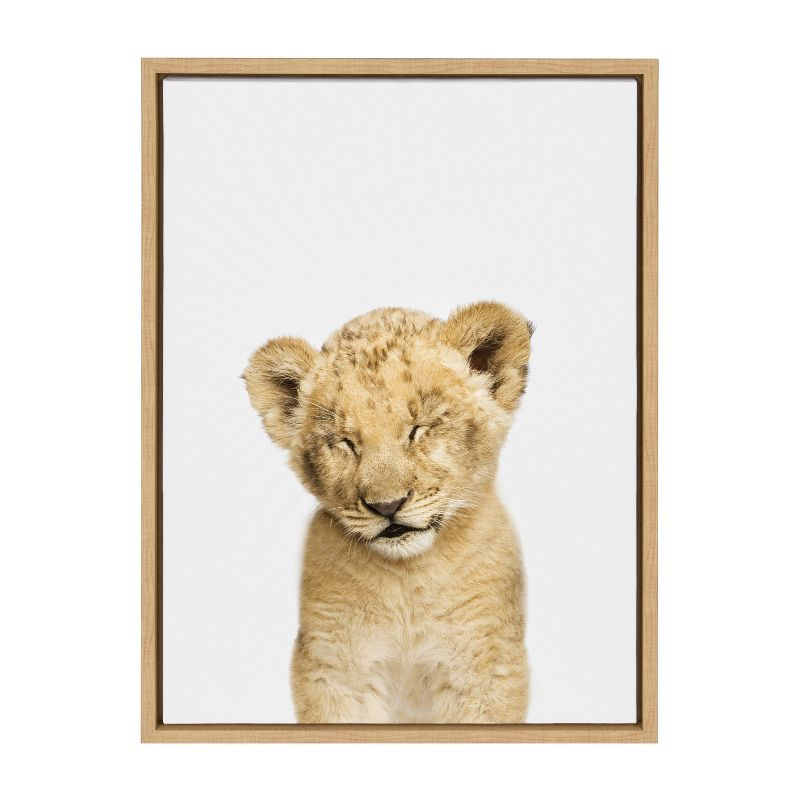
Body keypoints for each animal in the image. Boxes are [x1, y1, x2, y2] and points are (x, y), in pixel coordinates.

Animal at [244, 301, 532, 723]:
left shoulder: (485, 667)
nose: (387, 505)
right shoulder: (332, 669)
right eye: (346, 442)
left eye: (419, 429)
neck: (407, 579)